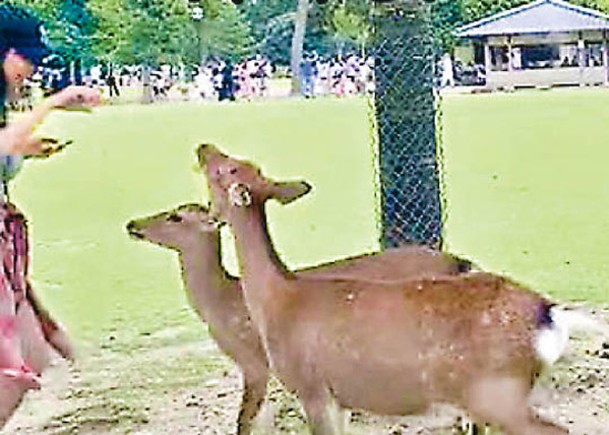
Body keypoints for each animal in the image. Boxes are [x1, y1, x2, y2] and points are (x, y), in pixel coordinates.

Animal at [123, 202, 472, 435]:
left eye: (176, 215)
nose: (132, 224)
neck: (224, 306)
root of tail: (461, 262)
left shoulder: (257, 362)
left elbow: (245, 422)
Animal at [196, 144, 592, 435]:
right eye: (242, 162)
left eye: (225, 169)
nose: (203, 147)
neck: (277, 301)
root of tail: (549, 313)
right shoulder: (341, 400)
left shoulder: (313, 388)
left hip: (497, 393)